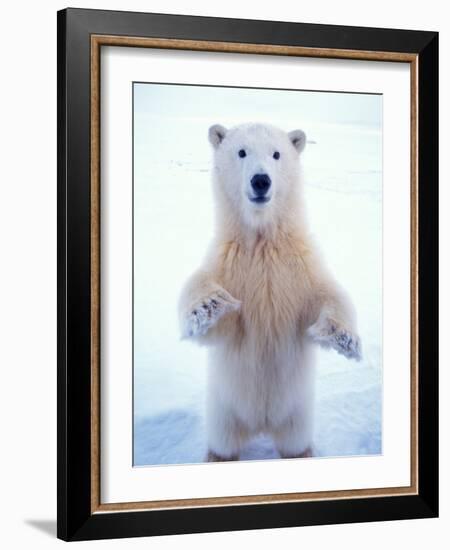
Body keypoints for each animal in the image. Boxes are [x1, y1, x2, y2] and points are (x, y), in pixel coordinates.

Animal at [178, 123, 360, 464]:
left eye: (277, 154)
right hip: (224, 410)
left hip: (297, 413)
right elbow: (208, 305)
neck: (262, 241)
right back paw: (217, 456)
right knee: (224, 442)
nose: (261, 180)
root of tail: (261, 425)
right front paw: (209, 303)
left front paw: (344, 337)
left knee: (294, 443)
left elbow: (327, 294)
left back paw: (303, 454)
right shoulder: (229, 262)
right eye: (241, 151)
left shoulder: (298, 266)